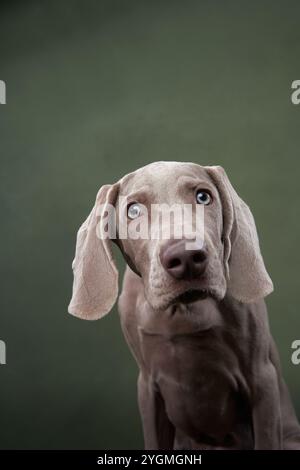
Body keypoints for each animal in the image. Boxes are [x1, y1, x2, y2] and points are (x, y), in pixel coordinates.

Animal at [68, 162, 300, 452]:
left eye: (203, 196)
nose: (186, 256)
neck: (182, 311)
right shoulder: (148, 388)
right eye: (133, 210)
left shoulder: (261, 379)